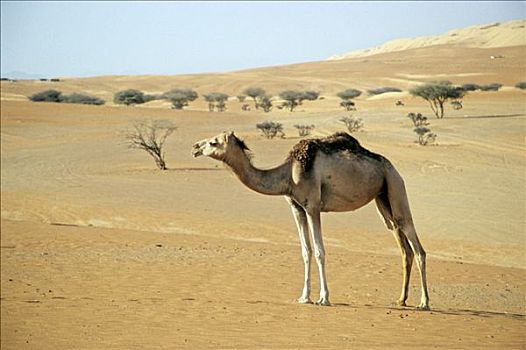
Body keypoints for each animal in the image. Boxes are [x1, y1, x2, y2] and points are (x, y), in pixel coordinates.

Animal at [192, 131, 432, 308]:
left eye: (213, 142)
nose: (195, 147)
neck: (288, 175)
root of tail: (392, 167)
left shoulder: (313, 206)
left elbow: (319, 251)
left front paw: (324, 298)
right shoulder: (296, 208)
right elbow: (305, 252)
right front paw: (304, 297)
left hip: (395, 186)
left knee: (417, 246)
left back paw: (424, 303)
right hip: (383, 199)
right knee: (403, 246)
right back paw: (401, 300)